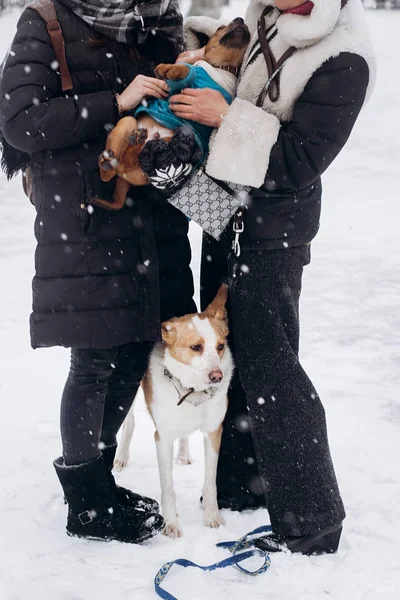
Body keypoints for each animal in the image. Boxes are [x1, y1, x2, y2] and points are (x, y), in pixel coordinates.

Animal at [94, 18, 250, 211]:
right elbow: (187, 71)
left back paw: (134, 144)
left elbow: (189, 72)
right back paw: (112, 158)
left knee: (123, 165)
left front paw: (174, 70)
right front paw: (171, 69)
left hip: (150, 159)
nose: (240, 19)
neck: (223, 69)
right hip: (128, 122)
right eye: (220, 28)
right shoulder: (173, 91)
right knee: (111, 171)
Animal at [114, 286, 233, 540]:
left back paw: (184, 453)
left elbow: (210, 482)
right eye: (196, 347)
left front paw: (212, 516)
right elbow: (167, 487)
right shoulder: (163, 437)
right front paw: (170, 523)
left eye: (220, 346)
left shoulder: (214, 431)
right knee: (129, 423)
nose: (217, 376)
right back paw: (121, 457)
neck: (193, 392)